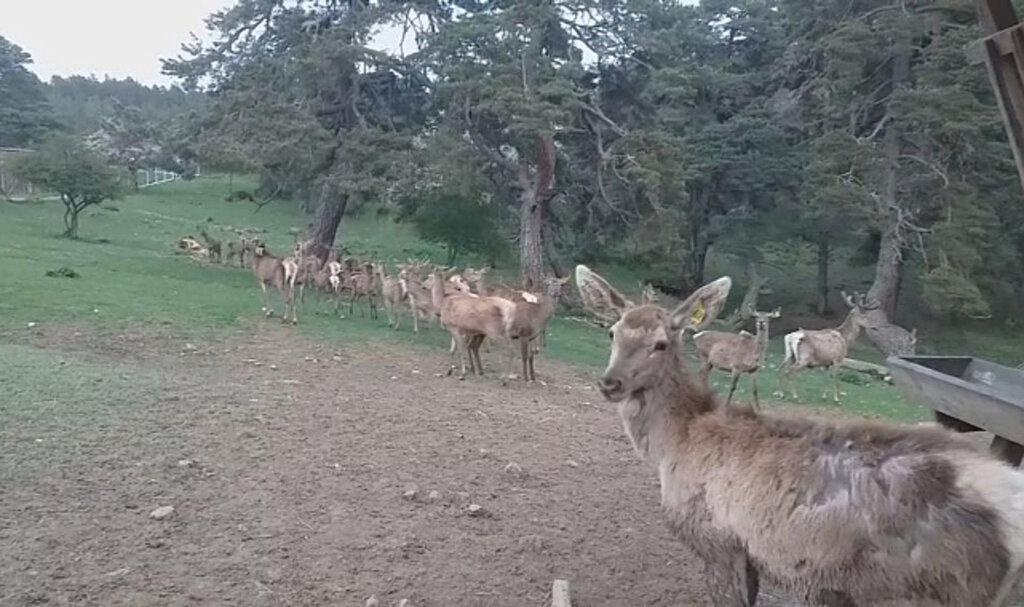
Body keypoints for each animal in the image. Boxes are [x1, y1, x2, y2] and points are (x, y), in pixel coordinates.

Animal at [575, 264, 1024, 607]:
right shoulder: (750, 552)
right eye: (612, 333)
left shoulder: (716, 541)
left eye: (661, 343)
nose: (611, 383)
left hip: (942, 589)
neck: (676, 444)